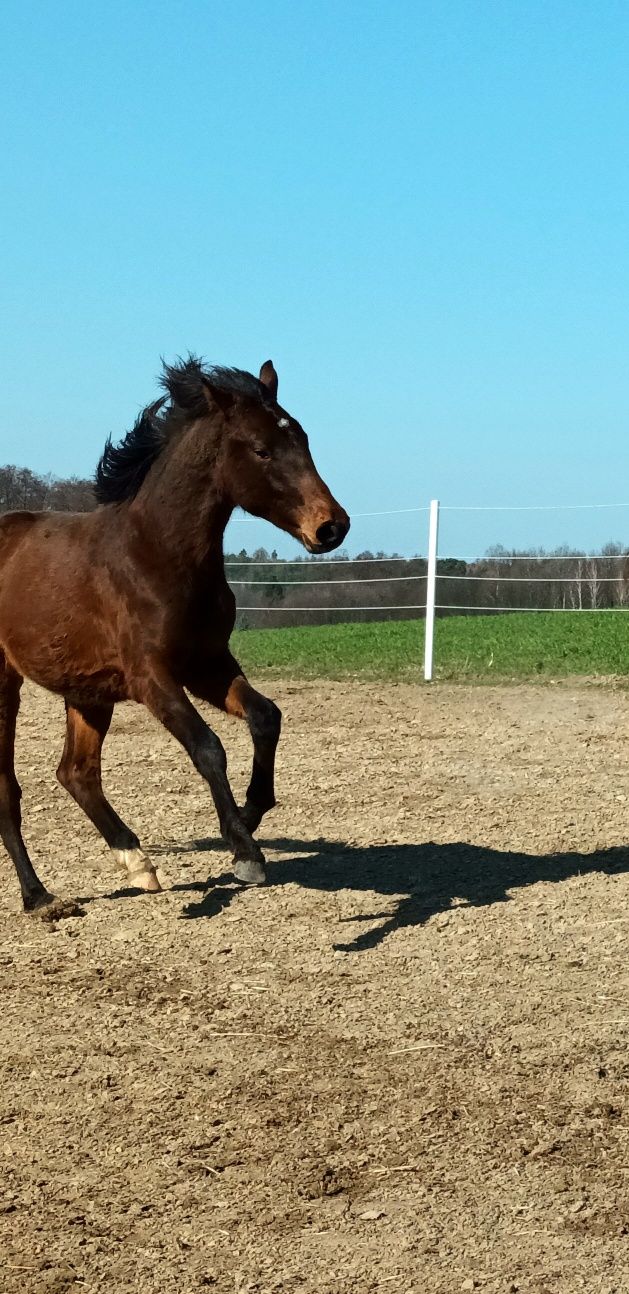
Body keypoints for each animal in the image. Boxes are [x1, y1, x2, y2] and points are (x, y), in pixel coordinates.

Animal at [0, 359, 349, 916]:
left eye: (304, 439)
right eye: (261, 449)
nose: (332, 527)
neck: (155, 553)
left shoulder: (206, 663)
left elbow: (265, 716)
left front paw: (249, 815)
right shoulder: (152, 678)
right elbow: (207, 747)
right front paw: (245, 851)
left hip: (89, 692)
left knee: (76, 772)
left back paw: (138, 864)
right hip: (6, 683)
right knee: (9, 789)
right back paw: (40, 898)